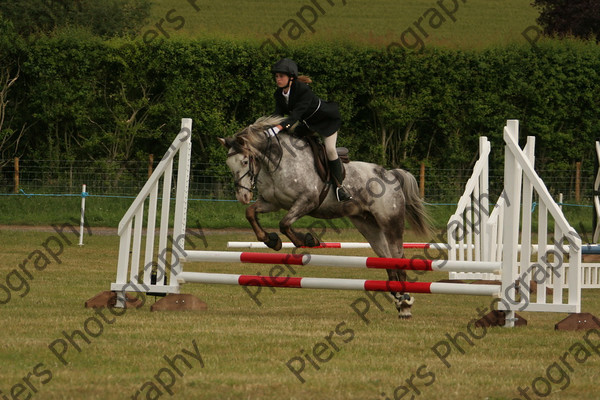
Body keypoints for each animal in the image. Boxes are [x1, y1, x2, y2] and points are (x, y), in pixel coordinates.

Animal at [220, 115, 432, 318]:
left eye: (245, 161)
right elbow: (251, 213)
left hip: (390, 222)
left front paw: (308, 240)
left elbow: (284, 223)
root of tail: (391, 174)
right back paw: (398, 300)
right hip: (368, 225)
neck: (278, 163)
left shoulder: (307, 201)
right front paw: (271, 240)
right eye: (229, 164)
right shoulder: (272, 203)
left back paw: (405, 305)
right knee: (387, 260)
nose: (243, 196)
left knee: (399, 258)